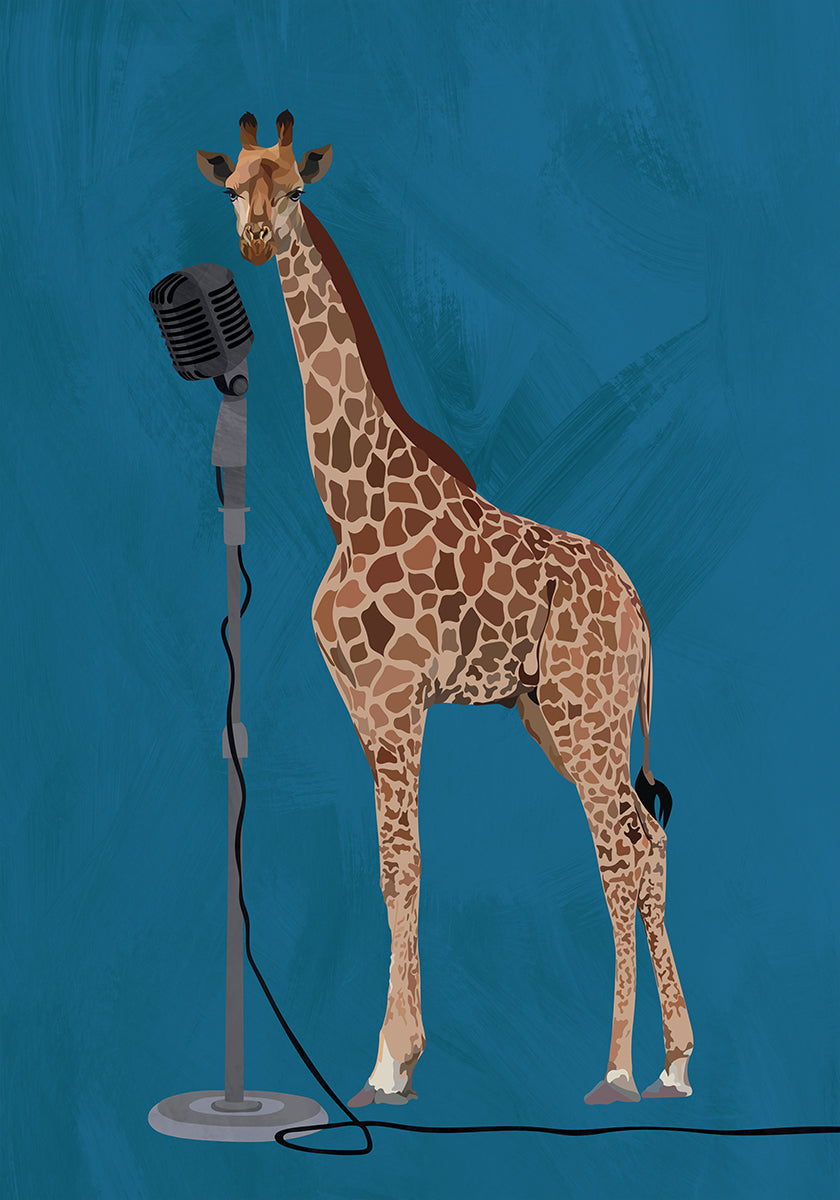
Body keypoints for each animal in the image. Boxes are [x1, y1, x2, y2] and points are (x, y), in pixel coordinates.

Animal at [197, 111, 693, 1108]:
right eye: (232, 187)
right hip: (557, 714)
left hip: (588, 714)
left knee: (619, 851)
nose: (258, 239)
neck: (348, 501)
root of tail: (639, 607)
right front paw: (396, 1054)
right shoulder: (361, 705)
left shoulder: (398, 702)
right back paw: (673, 1061)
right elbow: (394, 868)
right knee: (645, 838)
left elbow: (404, 867)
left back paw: (618, 1070)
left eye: (295, 189)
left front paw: (391, 1061)